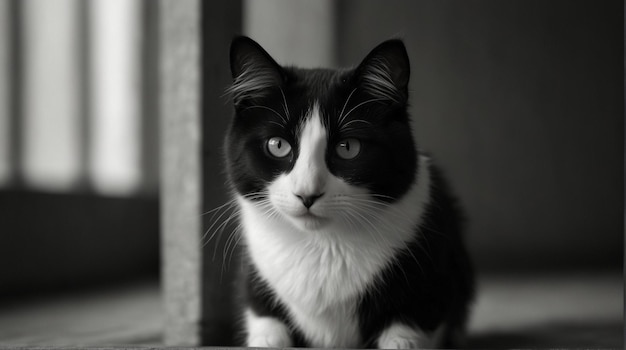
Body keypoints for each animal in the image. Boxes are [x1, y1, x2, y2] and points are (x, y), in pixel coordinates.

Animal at [222, 36, 470, 350]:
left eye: (348, 147)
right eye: (277, 145)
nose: (307, 194)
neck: (322, 245)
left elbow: (410, 327)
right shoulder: (256, 277)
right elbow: (265, 322)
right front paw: (267, 339)